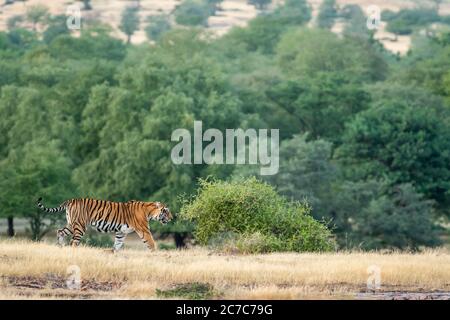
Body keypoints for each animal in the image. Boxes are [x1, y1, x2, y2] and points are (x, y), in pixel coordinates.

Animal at [37, 196, 172, 251]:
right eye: (165, 211)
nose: (172, 218)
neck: (149, 211)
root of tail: (71, 200)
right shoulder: (144, 230)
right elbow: (151, 243)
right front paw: (156, 254)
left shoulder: (121, 232)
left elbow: (117, 244)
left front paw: (114, 254)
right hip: (80, 226)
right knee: (73, 241)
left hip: (71, 224)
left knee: (60, 231)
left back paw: (60, 247)